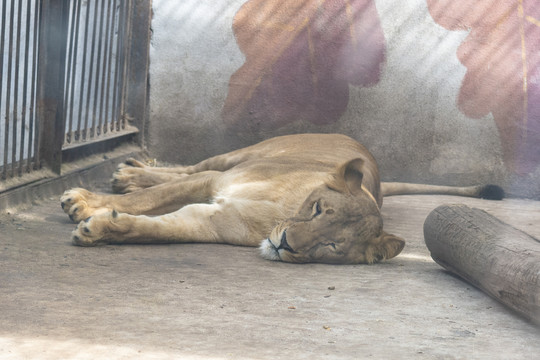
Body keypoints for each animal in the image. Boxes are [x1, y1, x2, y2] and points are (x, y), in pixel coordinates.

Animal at [59, 134, 502, 262]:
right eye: (319, 209)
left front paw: (100, 229)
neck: (278, 215)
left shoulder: (210, 221)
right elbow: (156, 196)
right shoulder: (214, 182)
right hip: (237, 156)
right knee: (185, 168)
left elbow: (156, 227)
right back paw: (127, 174)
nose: (285, 244)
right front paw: (83, 202)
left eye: (332, 246)